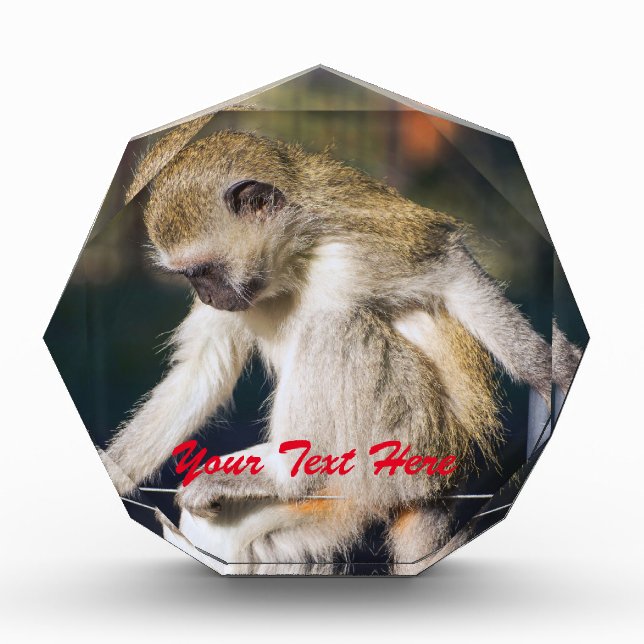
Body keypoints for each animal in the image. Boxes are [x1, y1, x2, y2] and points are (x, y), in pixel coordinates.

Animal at [99, 123, 582, 574]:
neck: (290, 264)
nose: (206, 296)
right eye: (189, 277)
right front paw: (115, 471)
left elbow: (451, 270)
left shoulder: (353, 249)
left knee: (333, 325)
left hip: (411, 447)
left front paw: (550, 367)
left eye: (203, 271)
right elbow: (202, 372)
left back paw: (285, 477)